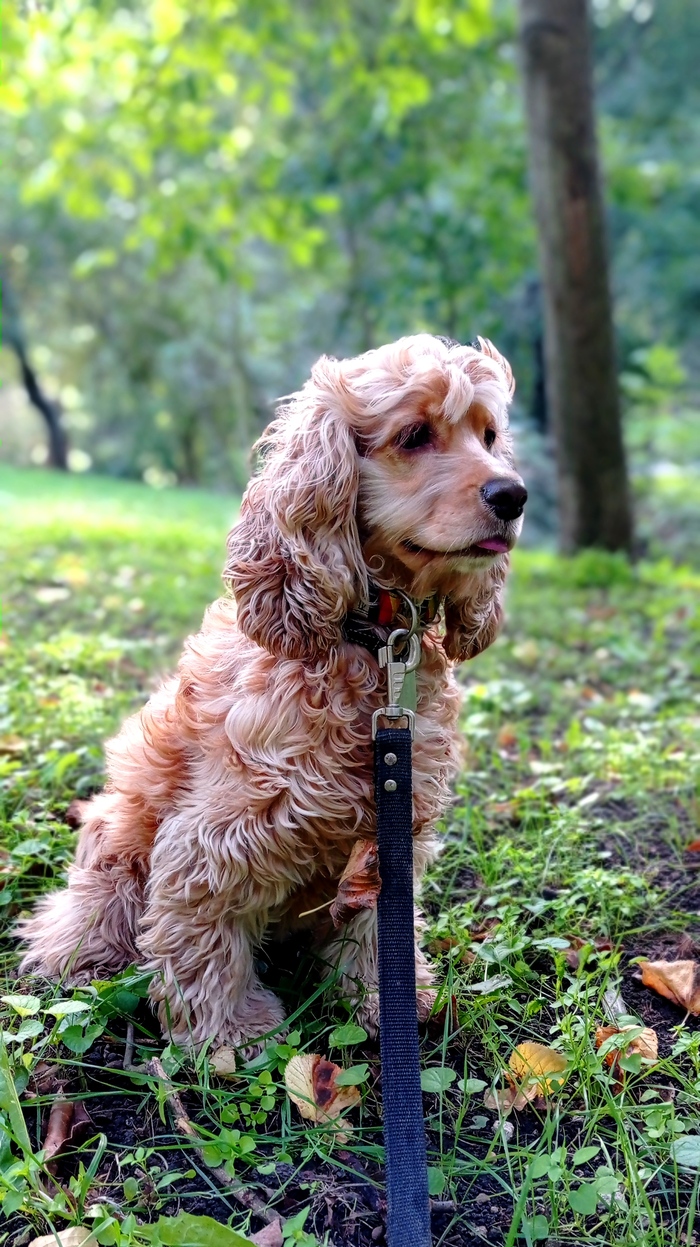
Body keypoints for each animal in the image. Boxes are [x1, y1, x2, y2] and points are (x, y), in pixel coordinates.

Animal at [19, 333, 526, 1050]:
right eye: (414, 435)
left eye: (488, 435)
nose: (515, 495)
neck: (365, 639)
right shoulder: (222, 832)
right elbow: (204, 928)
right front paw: (229, 1029)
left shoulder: (394, 824)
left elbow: (376, 928)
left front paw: (381, 998)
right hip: (116, 841)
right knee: (81, 916)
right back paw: (83, 955)